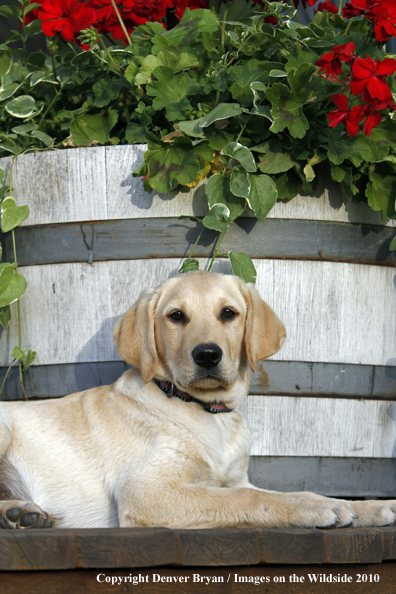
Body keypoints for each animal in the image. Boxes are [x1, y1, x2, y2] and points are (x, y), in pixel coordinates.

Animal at [0, 270, 396, 528]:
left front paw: (368, 507)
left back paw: (21, 513)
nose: (207, 354)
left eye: (228, 313)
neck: (206, 410)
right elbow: (252, 499)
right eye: (176, 316)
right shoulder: (145, 491)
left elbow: (289, 492)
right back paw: (18, 513)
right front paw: (315, 511)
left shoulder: (236, 479)